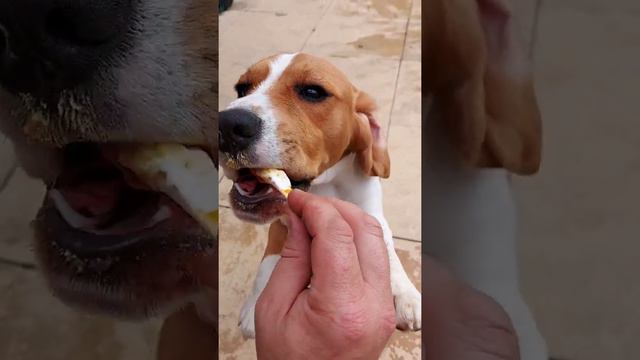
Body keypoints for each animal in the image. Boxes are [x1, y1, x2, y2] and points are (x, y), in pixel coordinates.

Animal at [220, 52, 424, 338]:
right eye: (242, 88)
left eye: (312, 92)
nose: (226, 125)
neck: (324, 186)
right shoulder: (281, 220)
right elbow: (271, 255)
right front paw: (258, 299)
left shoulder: (371, 214)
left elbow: (386, 247)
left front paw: (405, 292)